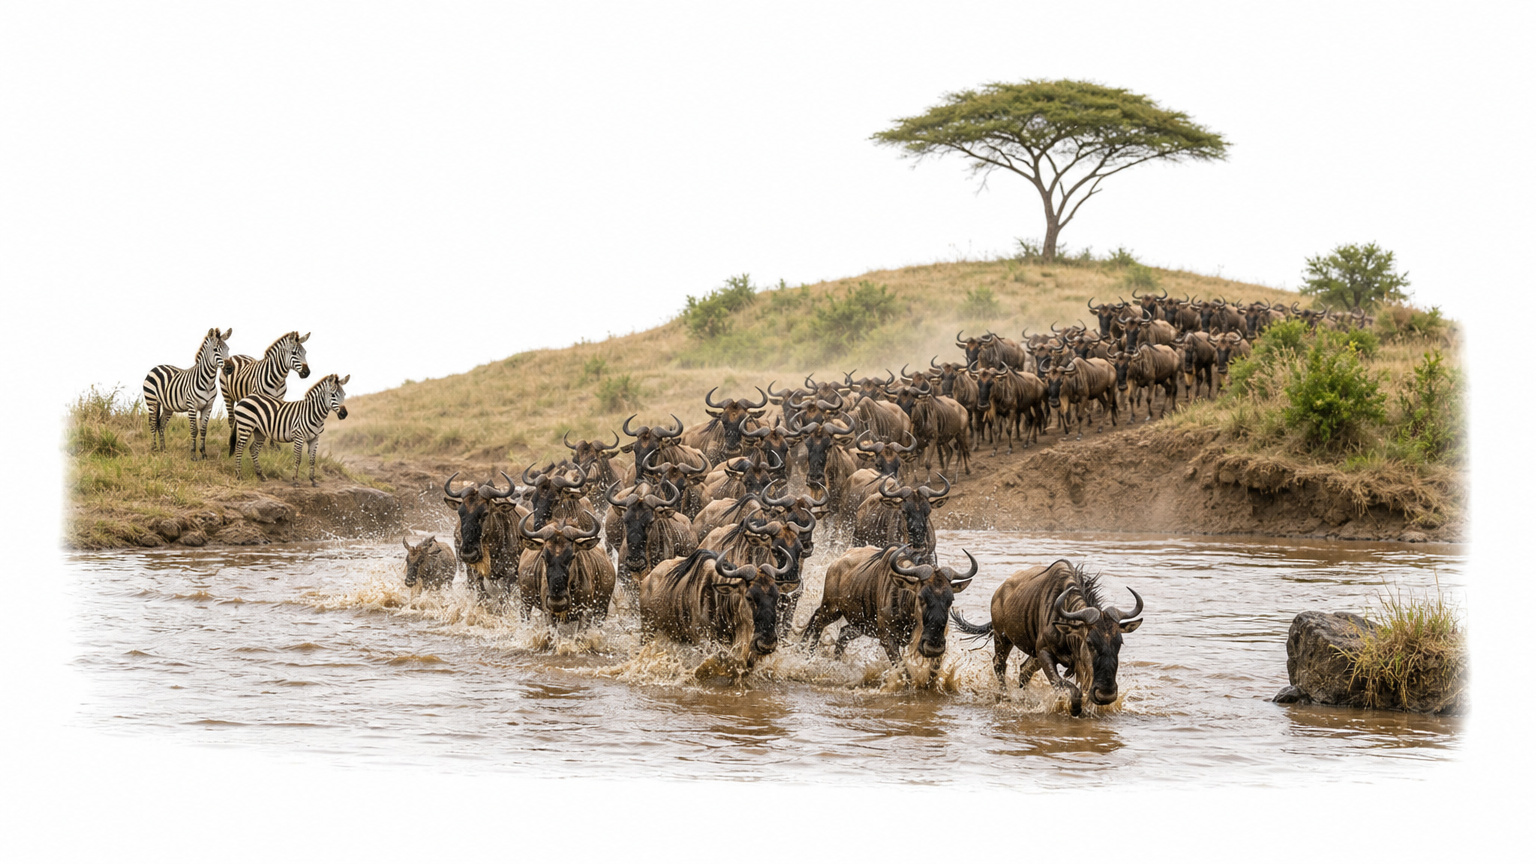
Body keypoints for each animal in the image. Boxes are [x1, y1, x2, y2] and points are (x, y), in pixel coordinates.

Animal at [143, 327, 232, 459]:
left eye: (228, 349)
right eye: (215, 349)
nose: (230, 368)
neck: (208, 382)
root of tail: (156, 367)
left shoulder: (208, 407)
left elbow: (203, 430)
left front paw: (203, 454)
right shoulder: (192, 406)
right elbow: (194, 430)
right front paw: (193, 455)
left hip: (168, 406)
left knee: (161, 424)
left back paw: (163, 450)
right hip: (152, 401)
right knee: (153, 423)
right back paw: (154, 449)